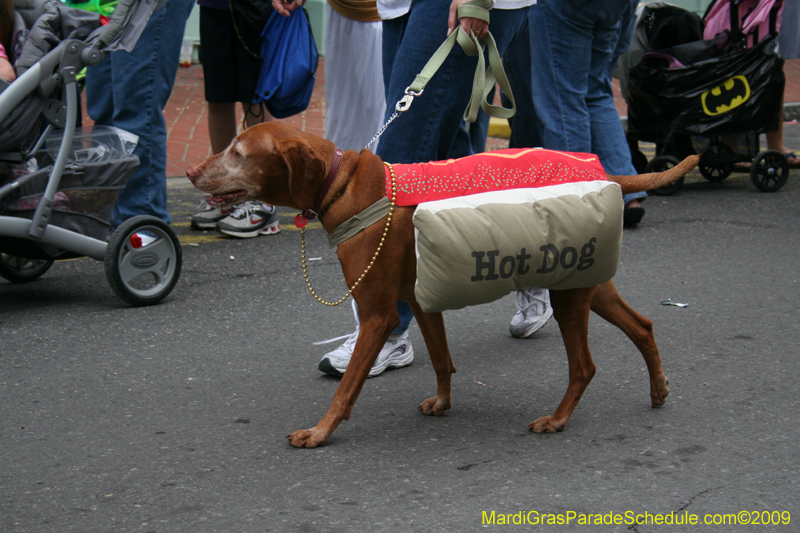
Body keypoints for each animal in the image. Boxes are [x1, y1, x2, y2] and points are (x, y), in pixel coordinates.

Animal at [188, 122, 700, 446]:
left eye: (238, 153)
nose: (191, 171)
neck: (346, 186)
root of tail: (602, 172)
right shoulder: (420, 298)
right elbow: (441, 359)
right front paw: (443, 402)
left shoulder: (378, 314)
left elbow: (347, 387)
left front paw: (320, 432)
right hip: (588, 285)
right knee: (644, 325)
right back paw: (658, 390)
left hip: (569, 294)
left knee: (585, 367)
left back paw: (557, 420)